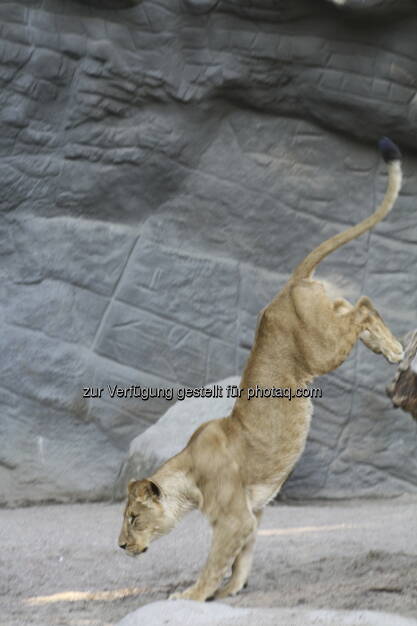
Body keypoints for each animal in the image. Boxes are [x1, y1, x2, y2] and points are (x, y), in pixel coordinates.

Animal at [117, 138, 404, 600]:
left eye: (133, 517)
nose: (121, 545)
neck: (189, 475)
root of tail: (289, 284)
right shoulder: (254, 515)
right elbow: (243, 558)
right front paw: (232, 590)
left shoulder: (234, 517)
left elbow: (214, 562)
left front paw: (193, 596)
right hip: (327, 325)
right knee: (355, 306)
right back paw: (388, 347)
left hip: (322, 349)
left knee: (363, 307)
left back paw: (394, 349)